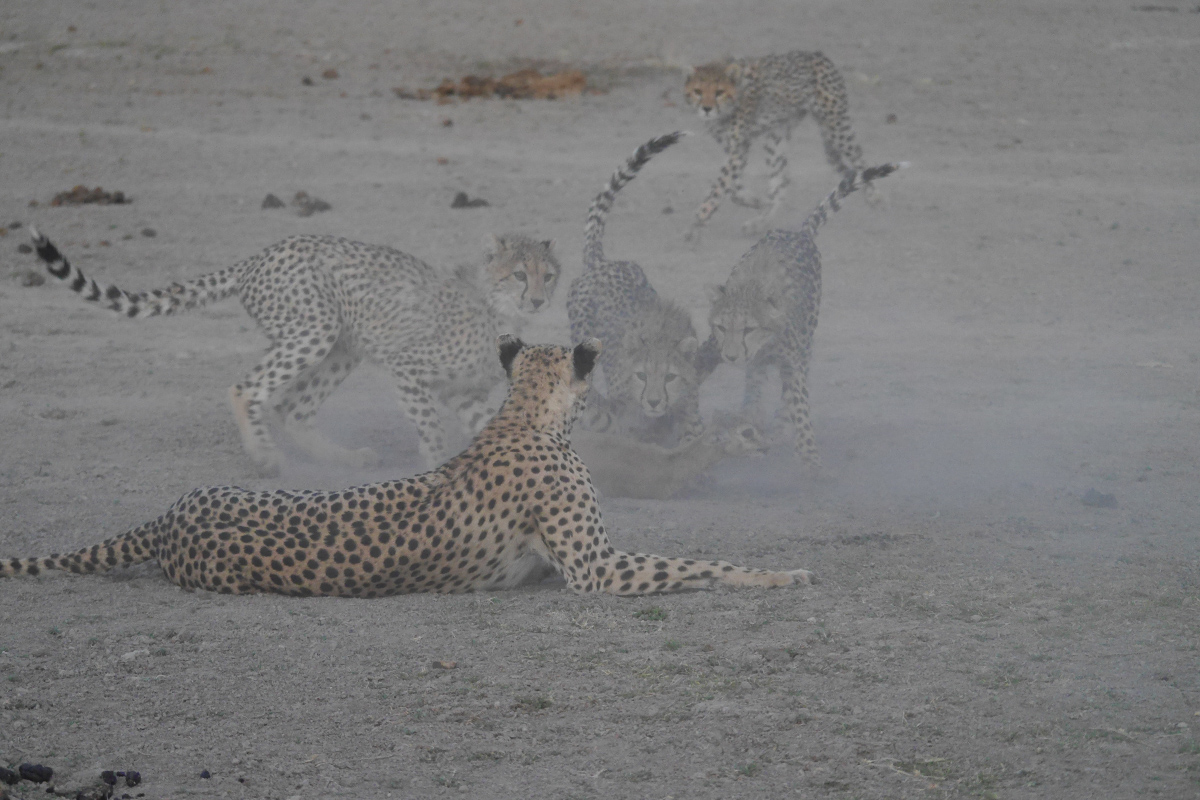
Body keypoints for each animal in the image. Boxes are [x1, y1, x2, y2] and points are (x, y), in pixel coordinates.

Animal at [29, 229, 560, 474]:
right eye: (519, 274)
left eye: (548, 275)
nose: (539, 299)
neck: (497, 308)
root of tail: (259, 256)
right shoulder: (408, 369)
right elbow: (430, 429)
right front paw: (433, 467)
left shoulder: (463, 393)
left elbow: (493, 428)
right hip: (316, 328)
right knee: (246, 388)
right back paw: (265, 457)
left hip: (341, 345)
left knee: (293, 408)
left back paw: (343, 459)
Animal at [683, 50, 875, 241]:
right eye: (698, 91)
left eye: (719, 92)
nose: (706, 109)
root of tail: (816, 54)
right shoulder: (732, 148)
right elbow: (732, 188)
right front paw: (756, 201)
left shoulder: (738, 149)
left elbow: (720, 187)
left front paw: (700, 218)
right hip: (776, 137)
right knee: (781, 183)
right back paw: (760, 222)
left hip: (836, 126)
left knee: (859, 158)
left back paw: (874, 195)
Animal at [707, 162, 905, 470]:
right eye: (721, 327)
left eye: (748, 329)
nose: (730, 355)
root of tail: (797, 233)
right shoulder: (756, 362)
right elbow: (753, 395)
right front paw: (748, 424)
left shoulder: (792, 362)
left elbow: (798, 405)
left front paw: (811, 460)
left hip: (806, 345)